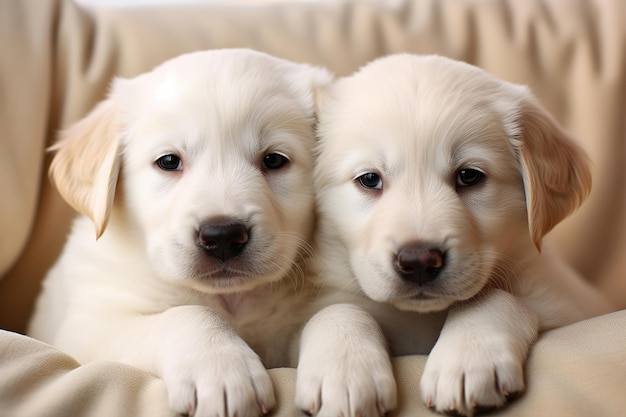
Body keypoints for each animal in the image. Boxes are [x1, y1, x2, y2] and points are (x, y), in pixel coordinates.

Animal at [28, 48, 332, 416]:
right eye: (169, 161)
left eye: (274, 160)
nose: (222, 236)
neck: (233, 299)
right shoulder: (89, 330)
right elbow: (185, 313)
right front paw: (222, 371)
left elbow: (334, 312)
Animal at [298, 53, 608, 414]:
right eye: (369, 179)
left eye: (469, 176)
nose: (419, 262)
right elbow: (338, 309)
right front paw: (345, 374)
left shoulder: (563, 305)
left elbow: (492, 296)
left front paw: (468, 359)